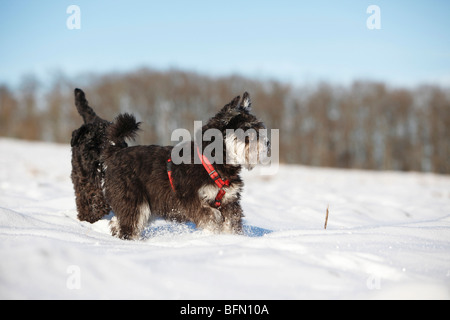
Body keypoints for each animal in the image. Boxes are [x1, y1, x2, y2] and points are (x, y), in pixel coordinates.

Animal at [101, 91, 268, 239]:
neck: (212, 162)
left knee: (118, 221)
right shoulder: (192, 200)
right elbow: (211, 217)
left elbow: (231, 222)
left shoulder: (230, 202)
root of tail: (115, 152)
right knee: (130, 224)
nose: (266, 143)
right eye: (245, 128)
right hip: (134, 202)